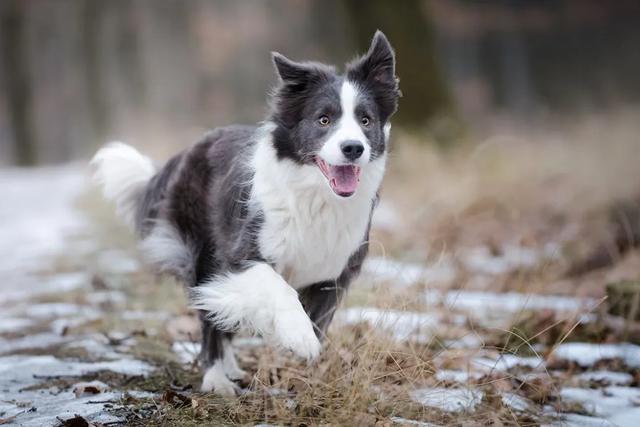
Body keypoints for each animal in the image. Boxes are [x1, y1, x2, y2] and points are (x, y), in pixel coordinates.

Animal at [91, 30, 400, 398]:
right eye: (324, 119)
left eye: (365, 120)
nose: (353, 148)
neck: (315, 196)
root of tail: (190, 148)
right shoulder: (241, 254)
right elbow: (279, 289)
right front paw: (299, 338)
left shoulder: (335, 272)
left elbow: (319, 320)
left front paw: (303, 360)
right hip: (203, 253)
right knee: (210, 319)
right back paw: (216, 378)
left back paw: (231, 368)